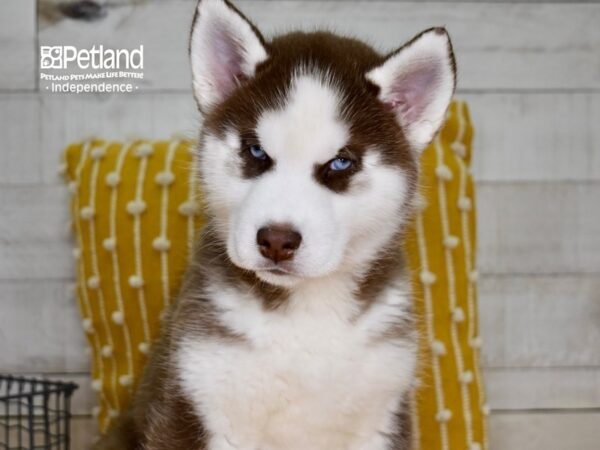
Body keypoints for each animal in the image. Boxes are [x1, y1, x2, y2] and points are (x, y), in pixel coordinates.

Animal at [97, 0, 454, 450]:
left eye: (341, 163)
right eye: (256, 151)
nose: (277, 240)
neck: (305, 316)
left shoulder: (382, 413)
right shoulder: (192, 396)